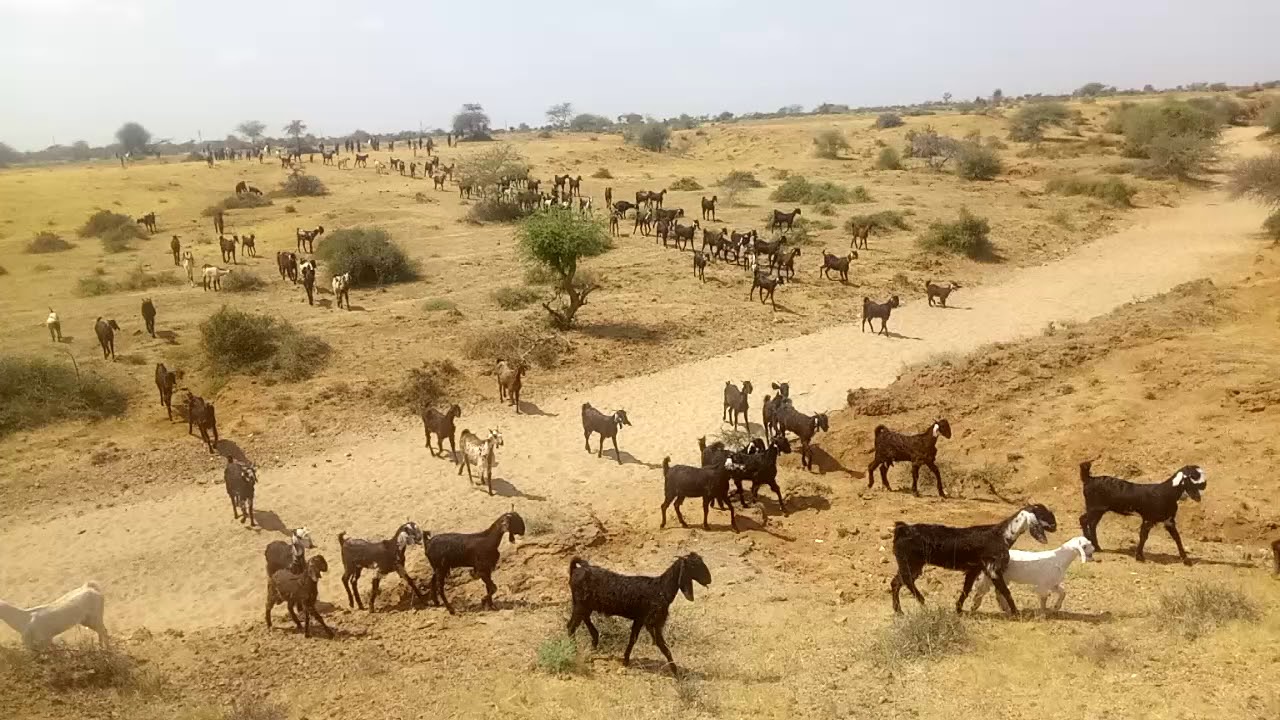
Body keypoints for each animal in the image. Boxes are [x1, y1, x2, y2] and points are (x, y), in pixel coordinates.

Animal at [567, 553, 711, 675]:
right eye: (693, 565)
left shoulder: (640, 619)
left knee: (582, 620)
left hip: (584, 605)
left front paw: (625, 660)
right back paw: (574, 650)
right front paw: (676, 672)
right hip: (580, 605)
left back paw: (594, 641)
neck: (661, 589)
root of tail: (576, 570)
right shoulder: (652, 622)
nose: (709, 579)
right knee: (571, 627)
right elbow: (662, 645)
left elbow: (633, 639)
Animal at [891, 504, 1058, 615]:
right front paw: (1016, 613)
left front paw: (958, 609)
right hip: (911, 563)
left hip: (910, 564)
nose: (1055, 526)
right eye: (1042, 513)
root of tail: (903, 529)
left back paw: (899, 611)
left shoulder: (974, 569)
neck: (1001, 534)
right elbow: (1005, 591)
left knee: (896, 582)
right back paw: (922, 601)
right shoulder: (993, 569)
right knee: (906, 581)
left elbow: (966, 590)